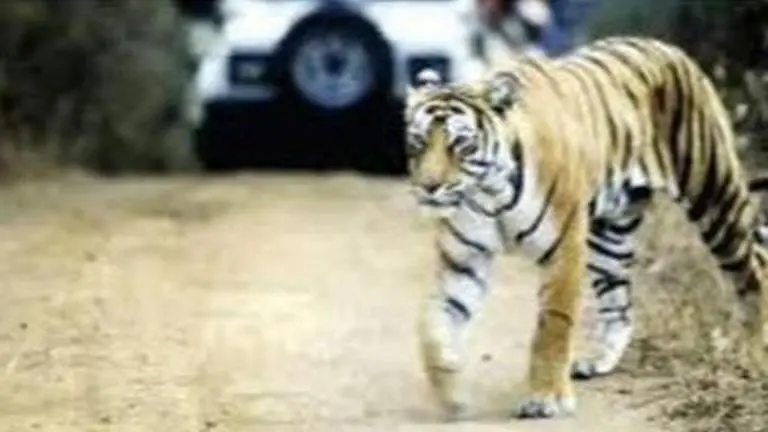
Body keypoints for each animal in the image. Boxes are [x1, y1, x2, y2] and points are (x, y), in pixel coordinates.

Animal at [403, 36, 768, 420]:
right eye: (418, 142)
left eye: (461, 144)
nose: (429, 187)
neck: (490, 193)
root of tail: (667, 47)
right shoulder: (463, 260)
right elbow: (434, 323)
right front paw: (451, 395)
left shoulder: (563, 249)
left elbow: (552, 325)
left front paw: (545, 399)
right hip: (609, 234)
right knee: (619, 304)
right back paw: (598, 361)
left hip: (715, 196)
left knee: (753, 271)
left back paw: (754, 354)